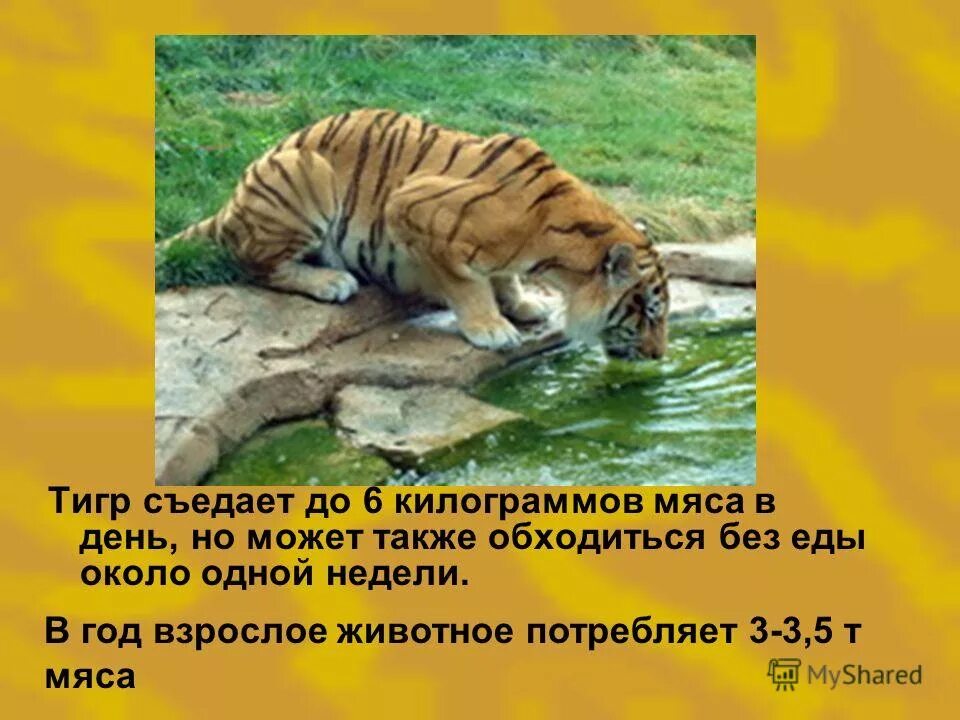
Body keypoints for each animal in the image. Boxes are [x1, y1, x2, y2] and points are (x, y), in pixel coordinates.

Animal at [165, 108, 669, 359]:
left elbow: (504, 276)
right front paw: (491, 328)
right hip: (304, 172)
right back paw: (331, 281)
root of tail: (231, 201)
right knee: (254, 263)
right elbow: (467, 284)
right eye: (648, 311)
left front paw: (523, 305)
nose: (659, 356)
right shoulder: (413, 209)